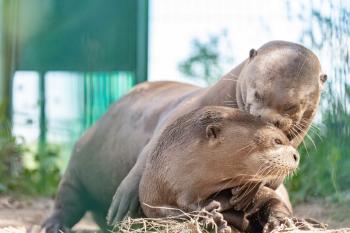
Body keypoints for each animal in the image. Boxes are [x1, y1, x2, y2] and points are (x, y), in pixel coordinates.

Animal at [42, 41, 326, 232]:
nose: (265, 118)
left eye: (292, 106)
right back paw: (54, 224)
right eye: (257, 93)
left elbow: (269, 186)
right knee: (67, 199)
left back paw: (295, 221)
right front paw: (124, 200)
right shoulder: (177, 118)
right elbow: (147, 158)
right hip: (78, 164)